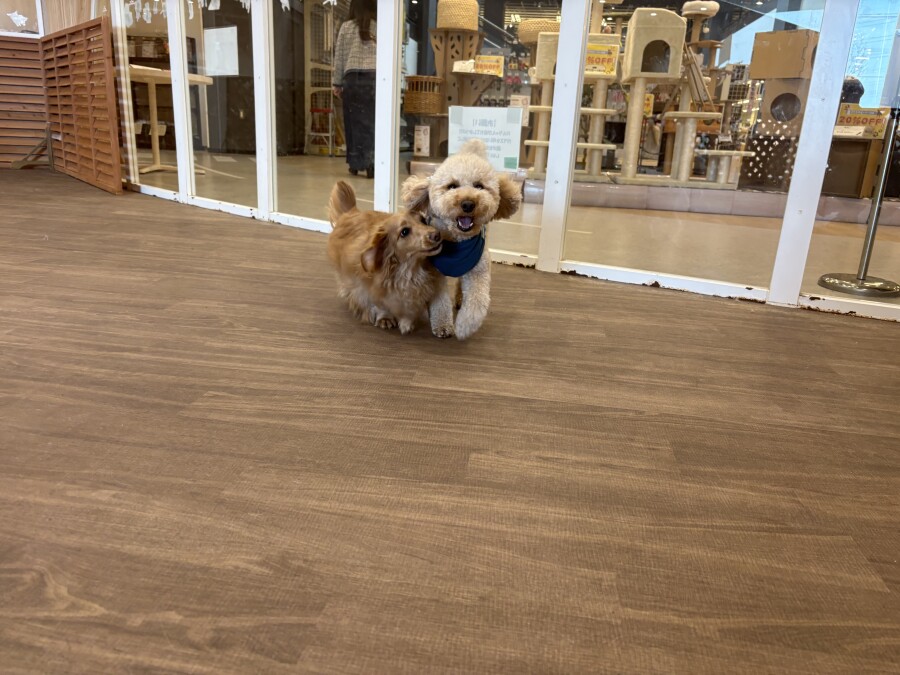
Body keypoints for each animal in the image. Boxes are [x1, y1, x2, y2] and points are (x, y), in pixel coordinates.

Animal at [327, 180, 444, 334]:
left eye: (423, 220)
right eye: (404, 232)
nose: (437, 235)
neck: (408, 270)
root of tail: (352, 212)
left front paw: (407, 322)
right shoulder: (371, 288)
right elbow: (379, 305)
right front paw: (385, 318)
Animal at [400, 139, 522, 340]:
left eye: (479, 186)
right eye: (451, 186)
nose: (468, 204)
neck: (457, 242)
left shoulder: (479, 271)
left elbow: (477, 303)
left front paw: (464, 327)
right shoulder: (435, 273)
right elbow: (440, 302)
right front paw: (442, 326)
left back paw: (459, 299)